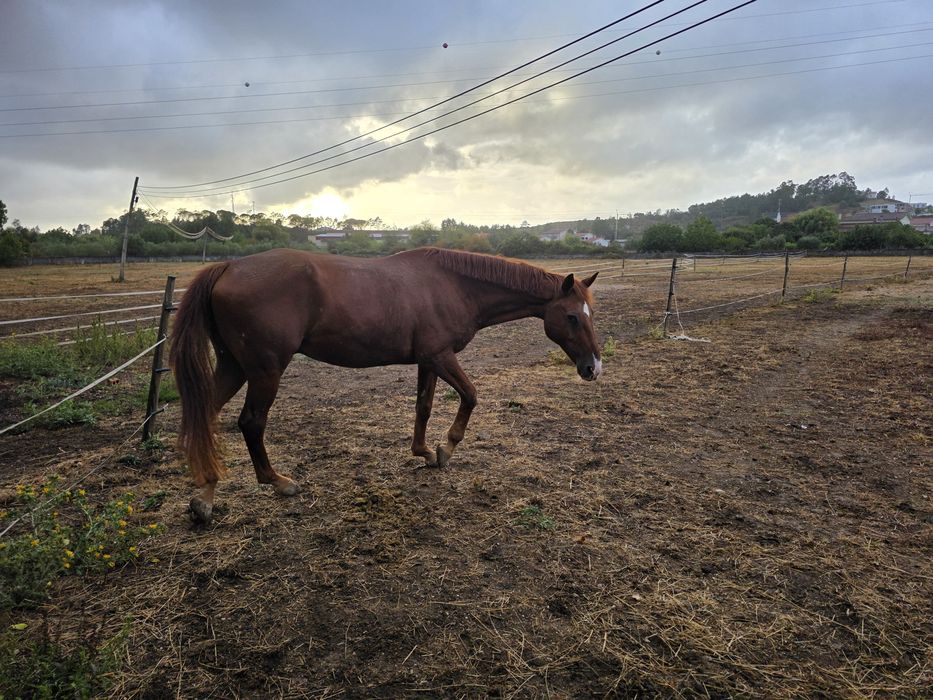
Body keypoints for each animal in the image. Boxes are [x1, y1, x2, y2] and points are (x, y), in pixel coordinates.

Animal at [169, 247, 601, 524]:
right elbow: (470, 396)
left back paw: (205, 494)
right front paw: (447, 447)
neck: (453, 285)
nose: (593, 367)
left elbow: (424, 406)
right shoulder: (442, 356)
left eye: (589, 314)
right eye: (572, 317)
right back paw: (276, 482)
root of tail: (228, 267)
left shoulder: (428, 360)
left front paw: (424, 452)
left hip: (234, 366)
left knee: (207, 415)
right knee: (251, 422)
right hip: (264, 370)